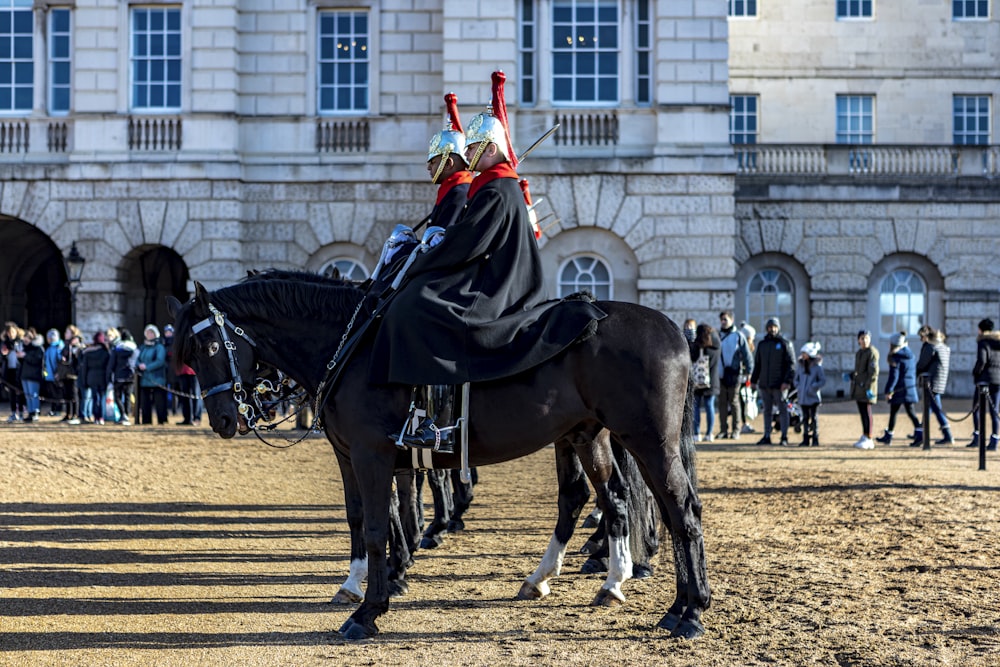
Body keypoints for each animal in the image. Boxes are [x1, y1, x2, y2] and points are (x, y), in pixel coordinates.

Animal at [166, 272, 712, 640]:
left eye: (209, 344)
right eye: (190, 352)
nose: (223, 420)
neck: (352, 345)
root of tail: (672, 328)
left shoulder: (373, 455)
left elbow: (379, 524)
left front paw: (371, 607)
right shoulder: (350, 456)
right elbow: (360, 517)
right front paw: (360, 582)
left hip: (647, 441)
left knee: (677, 509)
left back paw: (687, 610)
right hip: (587, 435)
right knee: (613, 498)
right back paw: (609, 583)